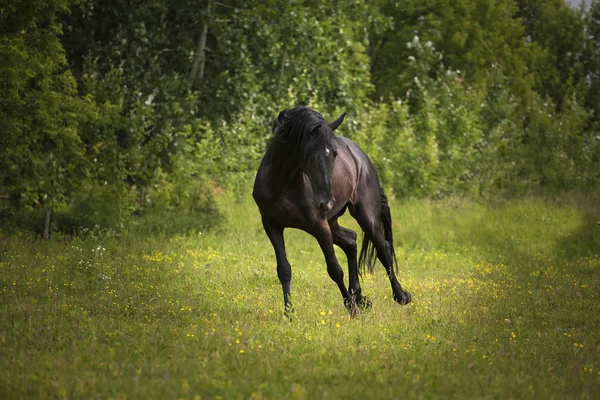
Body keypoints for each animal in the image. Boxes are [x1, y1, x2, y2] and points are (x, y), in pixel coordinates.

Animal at [251, 105, 410, 312]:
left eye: (334, 153)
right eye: (309, 154)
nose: (326, 202)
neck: (283, 184)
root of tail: (362, 158)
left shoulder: (319, 226)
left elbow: (334, 269)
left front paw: (351, 309)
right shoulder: (272, 224)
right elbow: (284, 269)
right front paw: (289, 312)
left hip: (366, 217)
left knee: (383, 250)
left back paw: (400, 296)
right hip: (333, 222)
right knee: (351, 240)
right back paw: (359, 296)